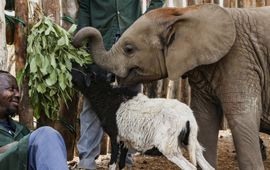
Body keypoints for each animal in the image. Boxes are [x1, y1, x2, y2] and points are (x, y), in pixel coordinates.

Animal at [70, 63, 214, 170]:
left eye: (85, 68)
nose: (71, 65)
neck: (106, 97)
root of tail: (188, 118)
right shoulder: (125, 140)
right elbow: (121, 164)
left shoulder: (115, 136)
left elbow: (112, 164)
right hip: (191, 142)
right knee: (207, 165)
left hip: (169, 145)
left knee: (190, 167)